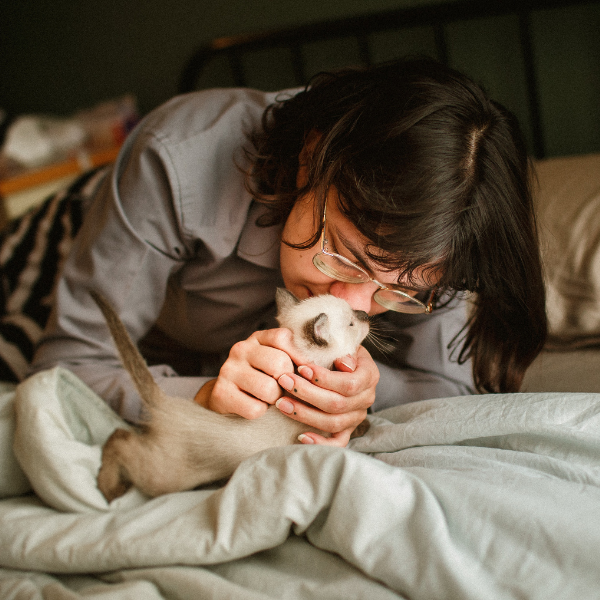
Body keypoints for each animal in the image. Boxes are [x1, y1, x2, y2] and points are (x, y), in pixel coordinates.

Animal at [92, 288, 370, 500]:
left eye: (354, 315)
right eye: (351, 323)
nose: (367, 314)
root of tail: (166, 403)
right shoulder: (318, 435)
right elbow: (349, 431)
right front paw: (363, 426)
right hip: (161, 477)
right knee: (120, 439)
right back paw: (110, 489)